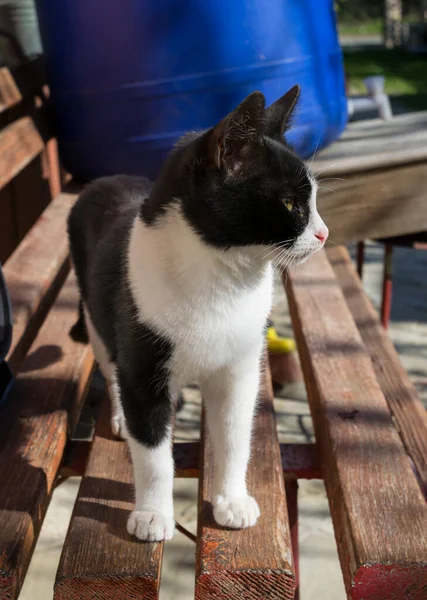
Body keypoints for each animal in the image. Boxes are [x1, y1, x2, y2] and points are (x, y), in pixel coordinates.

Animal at [67, 86, 328, 540]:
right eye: (289, 202)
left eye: (310, 200)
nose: (323, 233)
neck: (224, 280)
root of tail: (106, 178)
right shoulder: (144, 367)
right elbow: (153, 451)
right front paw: (153, 513)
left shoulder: (241, 368)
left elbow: (235, 435)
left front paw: (232, 501)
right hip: (97, 313)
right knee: (110, 363)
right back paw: (119, 415)